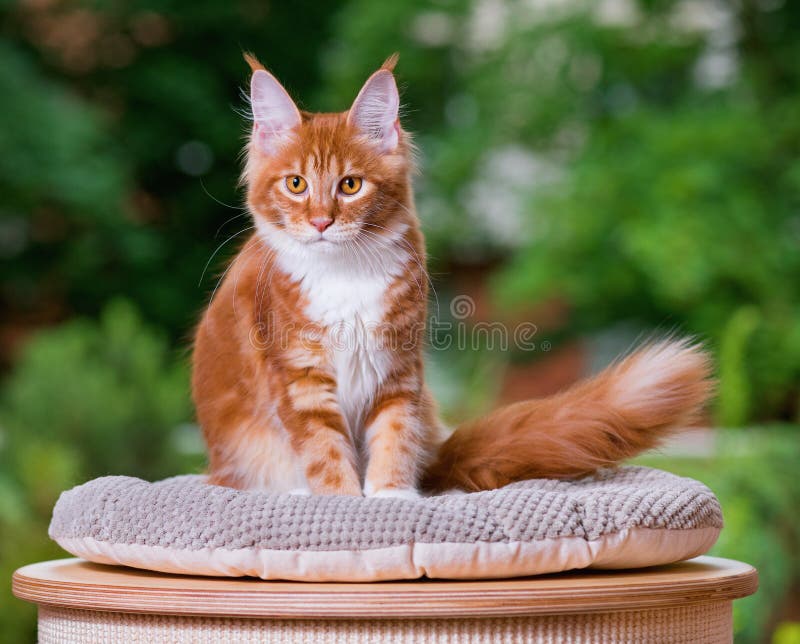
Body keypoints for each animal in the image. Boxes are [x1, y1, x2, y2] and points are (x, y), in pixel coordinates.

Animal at [192, 55, 712, 498]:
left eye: (350, 185)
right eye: (296, 184)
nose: (321, 221)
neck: (345, 275)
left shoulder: (399, 370)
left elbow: (394, 438)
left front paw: (391, 498)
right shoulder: (299, 377)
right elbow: (325, 453)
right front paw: (343, 503)